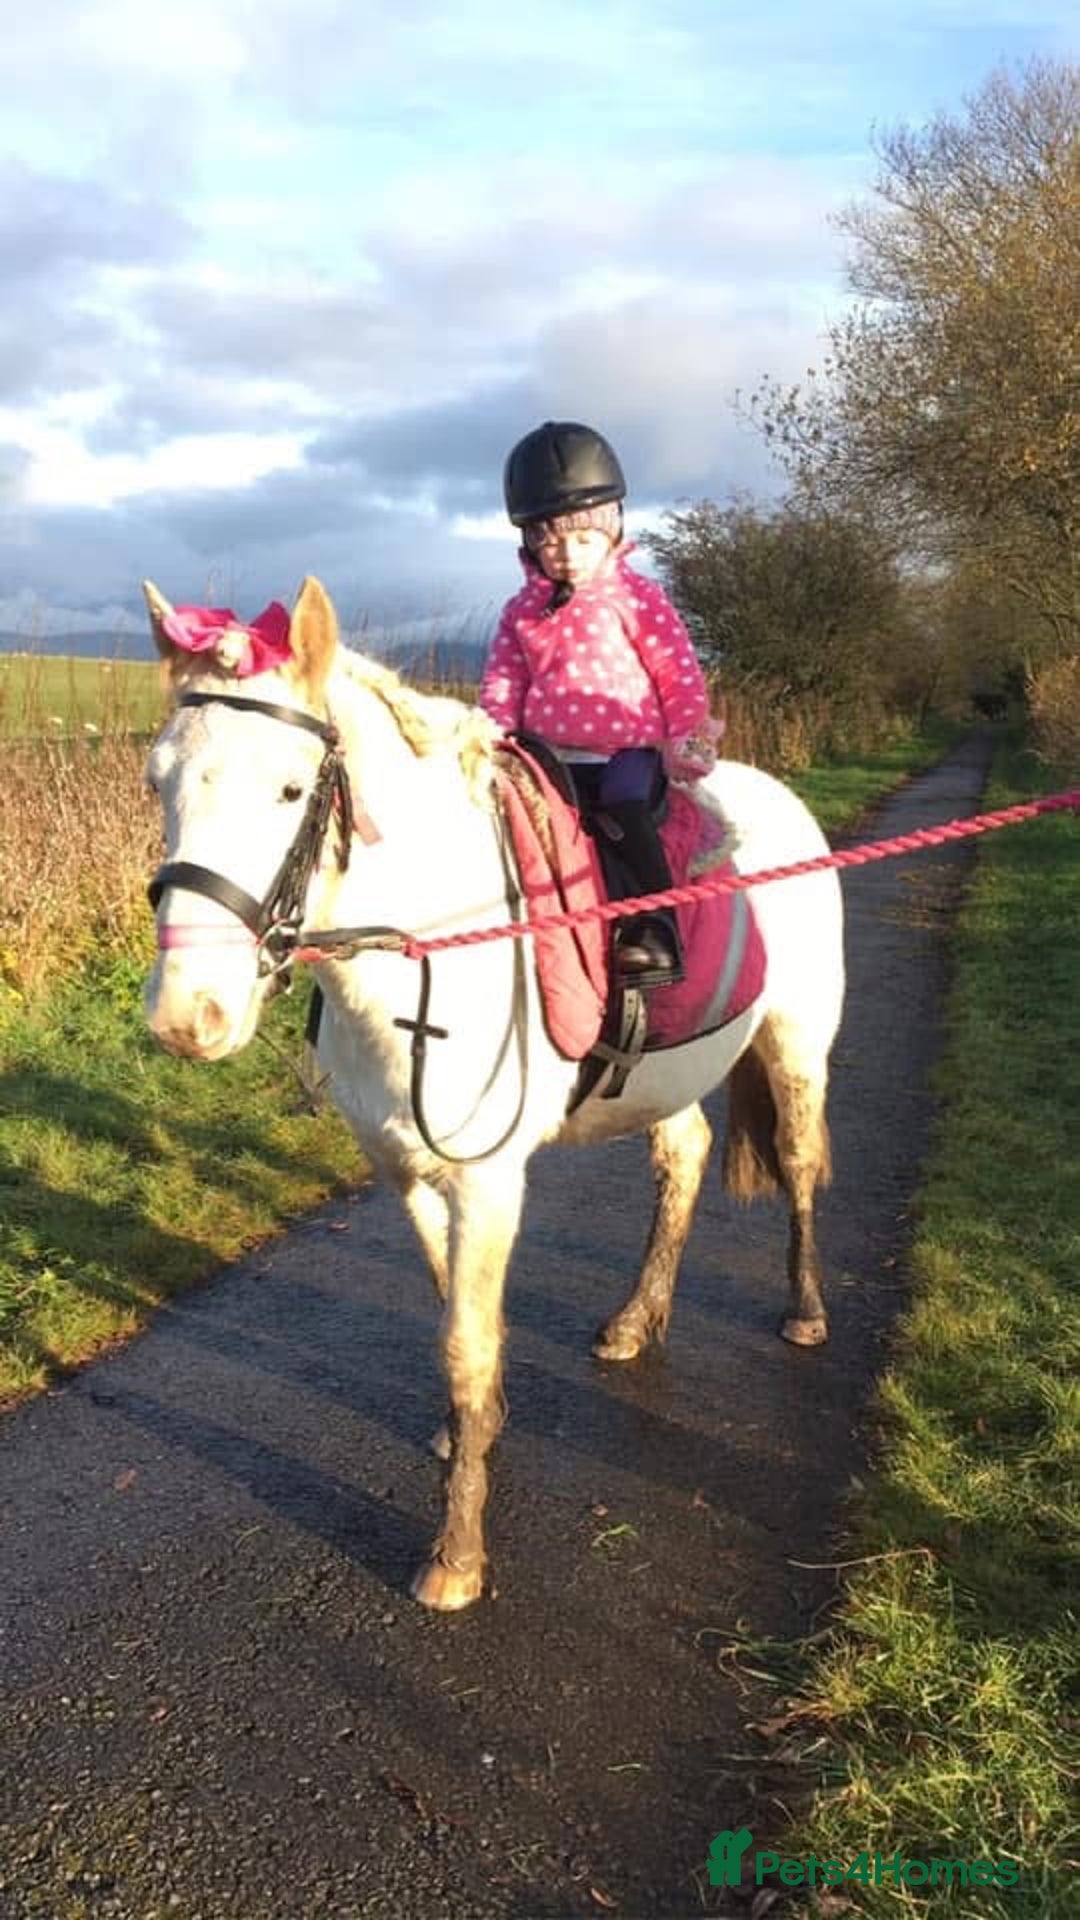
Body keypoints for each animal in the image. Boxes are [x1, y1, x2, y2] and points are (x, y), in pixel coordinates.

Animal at [141, 575, 845, 1611]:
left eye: (291, 790)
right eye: (159, 782)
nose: (188, 1018)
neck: (435, 944)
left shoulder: (486, 1179)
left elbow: (465, 1343)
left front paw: (456, 1557)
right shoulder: (407, 1170)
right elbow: (454, 1312)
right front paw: (476, 1431)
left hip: (796, 1044)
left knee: (796, 1163)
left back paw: (803, 1309)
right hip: (667, 1075)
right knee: (684, 1161)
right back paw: (636, 1321)